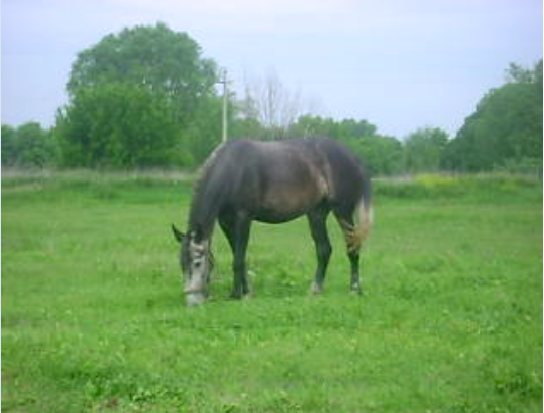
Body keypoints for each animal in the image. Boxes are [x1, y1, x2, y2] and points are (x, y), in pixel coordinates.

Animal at [172, 137, 372, 304]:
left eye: (198, 263)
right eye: (181, 264)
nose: (192, 301)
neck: (234, 169)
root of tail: (353, 157)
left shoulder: (244, 218)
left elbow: (238, 259)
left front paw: (236, 295)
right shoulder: (225, 222)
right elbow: (239, 256)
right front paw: (247, 291)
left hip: (343, 212)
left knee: (352, 248)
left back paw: (355, 289)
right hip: (317, 214)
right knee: (324, 250)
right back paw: (316, 289)